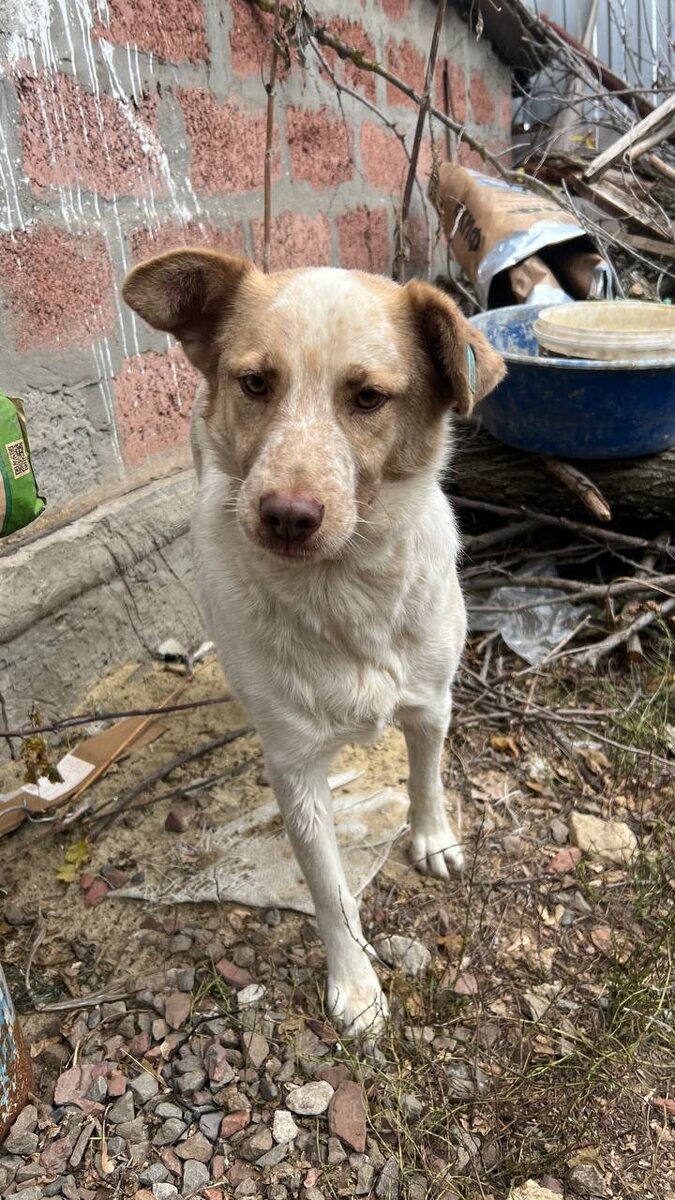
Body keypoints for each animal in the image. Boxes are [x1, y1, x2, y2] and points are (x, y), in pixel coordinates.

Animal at [123, 252, 505, 1037]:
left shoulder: (432, 702)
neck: (345, 589)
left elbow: (426, 778)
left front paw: (433, 838)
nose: (287, 516)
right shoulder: (294, 767)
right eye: (255, 383)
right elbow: (329, 891)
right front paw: (356, 986)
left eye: (368, 397)